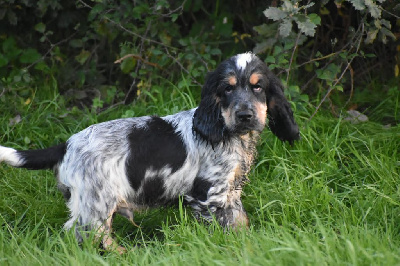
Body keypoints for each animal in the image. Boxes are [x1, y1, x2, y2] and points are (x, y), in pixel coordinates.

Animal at [0, 53, 300, 252]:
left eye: (258, 86)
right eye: (227, 88)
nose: (245, 115)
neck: (226, 132)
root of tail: (67, 145)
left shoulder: (231, 190)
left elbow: (240, 221)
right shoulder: (209, 193)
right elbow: (222, 227)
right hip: (97, 201)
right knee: (82, 235)